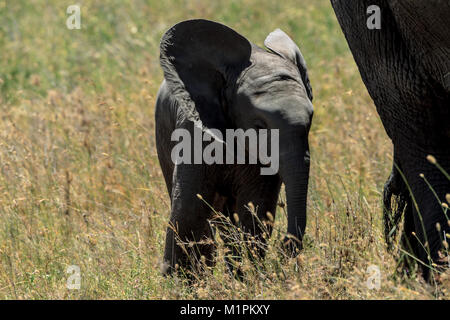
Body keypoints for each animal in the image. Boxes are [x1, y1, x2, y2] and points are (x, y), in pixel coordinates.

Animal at [155, 19, 312, 276]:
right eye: (259, 126)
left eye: (310, 122)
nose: (284, 249)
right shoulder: (194, 132)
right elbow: (189, 208)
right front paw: (181, 281)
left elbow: (254, 207)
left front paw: (248, 278)